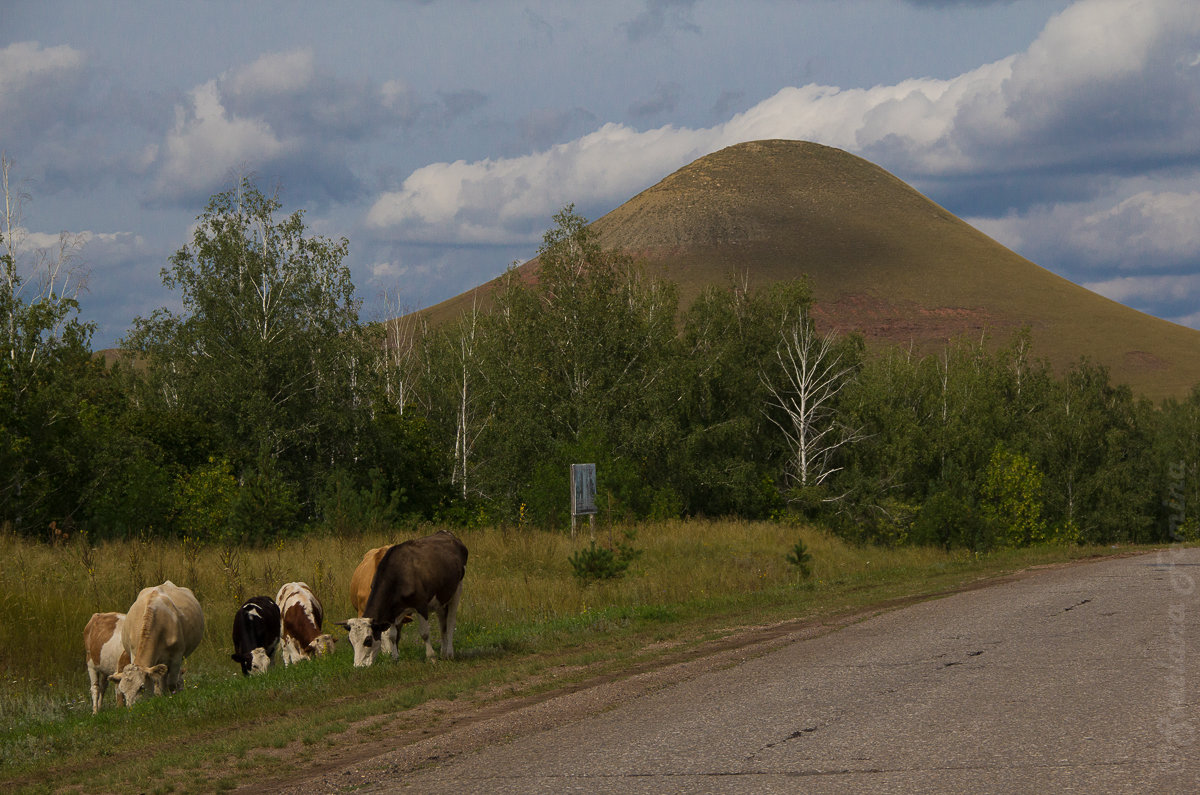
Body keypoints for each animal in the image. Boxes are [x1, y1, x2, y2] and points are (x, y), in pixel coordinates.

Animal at [340, 533, 470, 667]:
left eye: (368, 640)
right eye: (350, 642)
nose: (358, 666)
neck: (399, 574)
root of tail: (446, 533)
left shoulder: (421, 605)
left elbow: (424, 633)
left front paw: (431, 657)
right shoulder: (391, 611)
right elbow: (393, 635)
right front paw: (395, 658)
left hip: (457, 590)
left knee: (450, 622)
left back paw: (449, 653)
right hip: (441, 597)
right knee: (442, 623)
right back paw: (443, 653)